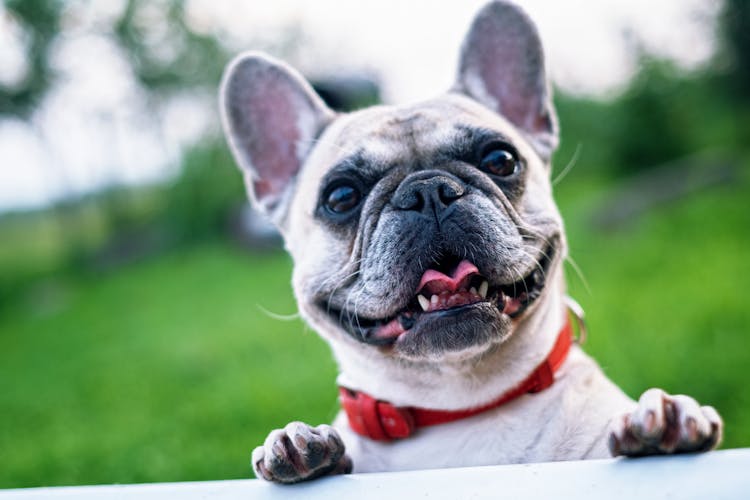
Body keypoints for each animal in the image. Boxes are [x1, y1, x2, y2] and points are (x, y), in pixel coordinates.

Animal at [219, 0, 724, 484]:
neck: (460, 406)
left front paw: (668, 423)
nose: (427, 191)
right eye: (341, 196)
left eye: (500, 159)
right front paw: (300, 447)